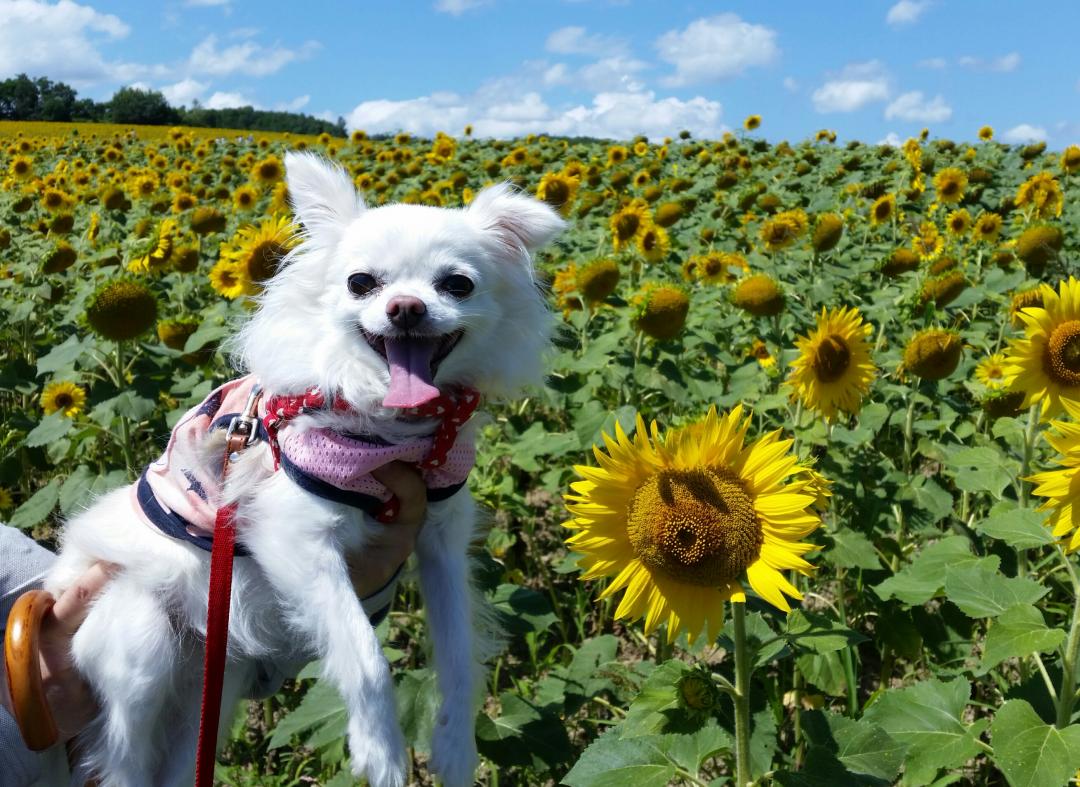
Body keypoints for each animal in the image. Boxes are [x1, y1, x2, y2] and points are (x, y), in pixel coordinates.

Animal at [43, 153, 565, 785]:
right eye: (361, 282)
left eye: (457, 284)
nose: (406, 307)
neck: (393, 431)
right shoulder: (295, 537)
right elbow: (365, 656)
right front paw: (381, 750)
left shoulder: (441, 541)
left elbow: (460, 654)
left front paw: (456, 747)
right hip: (141, 643)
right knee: (125, 755)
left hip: (212, 694)